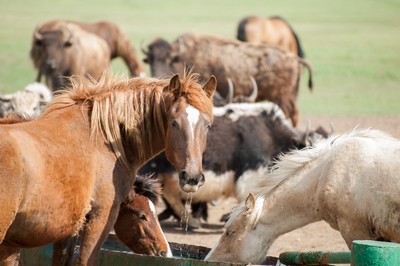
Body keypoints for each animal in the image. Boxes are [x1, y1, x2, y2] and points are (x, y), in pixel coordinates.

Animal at [0, 71, 216, 264]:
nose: (192, 177)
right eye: (174, 122)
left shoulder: (69, 228)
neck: (103, 140)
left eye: (208, 125)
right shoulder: (101, 217)